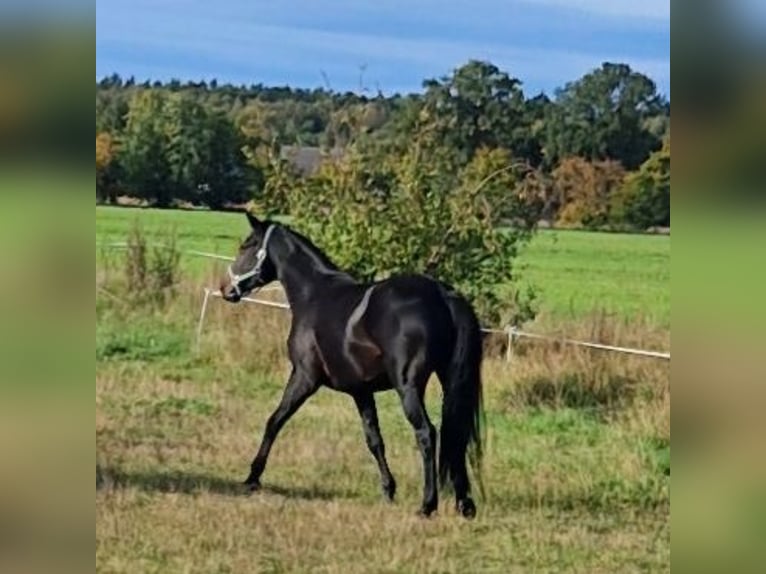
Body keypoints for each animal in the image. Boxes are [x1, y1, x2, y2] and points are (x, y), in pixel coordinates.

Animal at [222, 214, 486, 520]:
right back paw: (465, 504)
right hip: (449, 381)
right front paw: (388, 489)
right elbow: (374, 439)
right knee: (456, 435)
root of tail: (444, 296)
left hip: (408, 387)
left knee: (427, 433)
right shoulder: (361, 391)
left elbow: (275, 420)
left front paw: (252, 477)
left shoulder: (304, 378)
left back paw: (427, 505)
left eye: (247, 245)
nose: (226, 289)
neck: (314, 295)